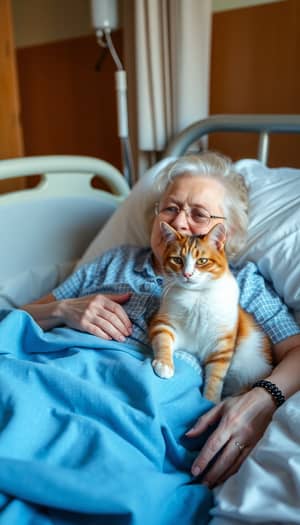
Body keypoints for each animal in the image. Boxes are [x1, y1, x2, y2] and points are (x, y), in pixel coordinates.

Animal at [149, 221, 274, 402]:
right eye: (177, 260)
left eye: (202, 261)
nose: (187, 274)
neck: (196, 295)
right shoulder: (164, 322)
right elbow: (162, 340)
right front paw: (164, 364)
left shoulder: (221, 345)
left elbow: (215, 378)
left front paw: (209, 401)